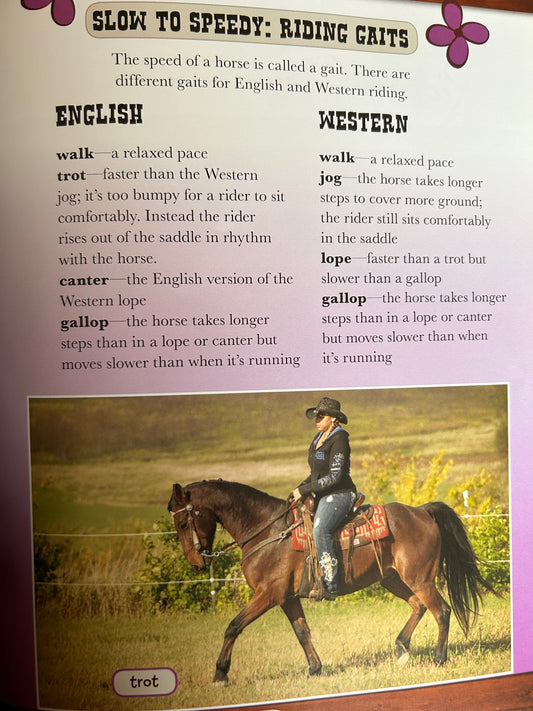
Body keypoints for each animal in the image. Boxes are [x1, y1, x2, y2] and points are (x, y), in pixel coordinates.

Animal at [168, 479, 495, 683]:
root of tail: (422, 512)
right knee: (419, 607)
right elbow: (302, 632)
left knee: (442, 610)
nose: (196, 562)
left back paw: (439, 658)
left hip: (419, 578)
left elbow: (233, 626)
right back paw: (402, 649)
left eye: (183, 522)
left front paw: (220, 674)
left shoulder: (268, 595)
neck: (269, 532)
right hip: (392, 579)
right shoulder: (287, 598)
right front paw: (315, 669)